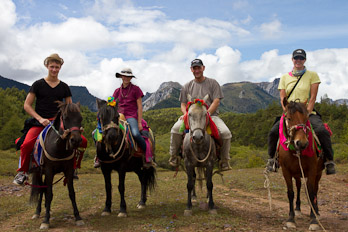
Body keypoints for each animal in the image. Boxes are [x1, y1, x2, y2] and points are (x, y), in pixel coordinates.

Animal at [278, 99, 324, 231]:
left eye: (306, 118)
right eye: (289, 118)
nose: (302, 143)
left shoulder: (312, 170)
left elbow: (311, 192)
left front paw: (313, 220)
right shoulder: (286, 171)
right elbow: (290, 193)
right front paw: (291, 219)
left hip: (318, 173)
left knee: (315, 189)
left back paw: (316, 211)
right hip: (297, 173)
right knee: (298, 186)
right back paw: (298, 209)